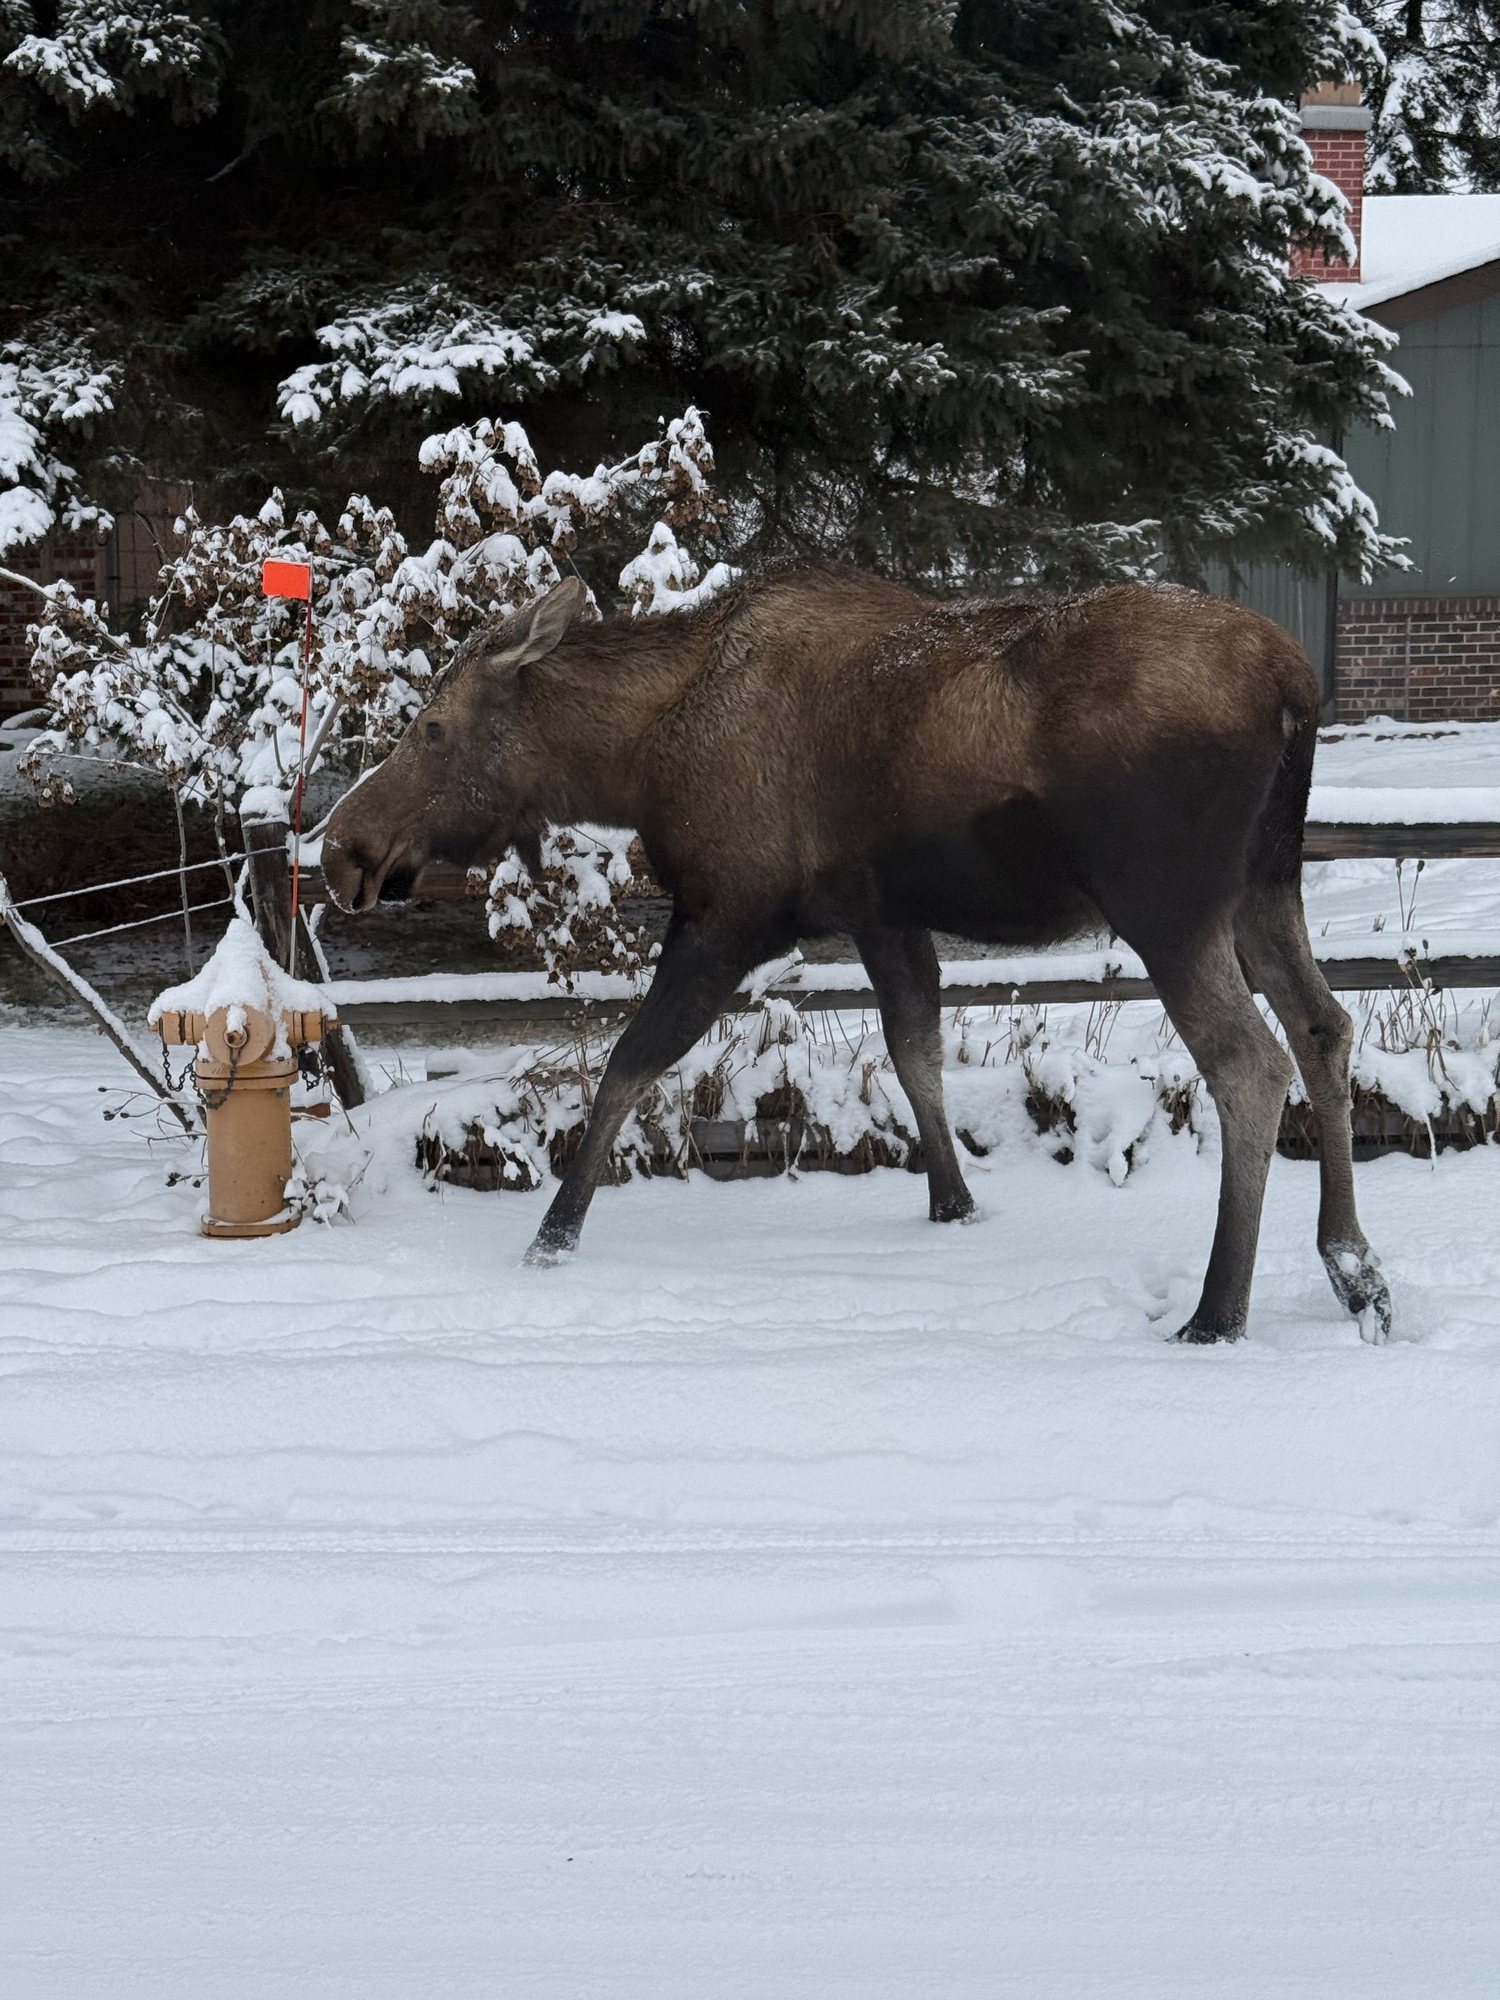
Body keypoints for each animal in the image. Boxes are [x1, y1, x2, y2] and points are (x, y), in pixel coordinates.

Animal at [322, 566, 1392, 1344]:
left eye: (432, 727)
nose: (344, 851)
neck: (633, 761)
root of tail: (1296, 689)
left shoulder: (728, 913)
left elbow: (628, 1065)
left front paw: (552, 1237)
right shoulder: (883, 918)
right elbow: (916, 1051)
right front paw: (955, 1206)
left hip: (1168, 903)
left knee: (1249, 1063)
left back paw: (1218, 1314)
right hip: (1264, 884)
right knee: (1325, 1027)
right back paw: (1355, 1272)